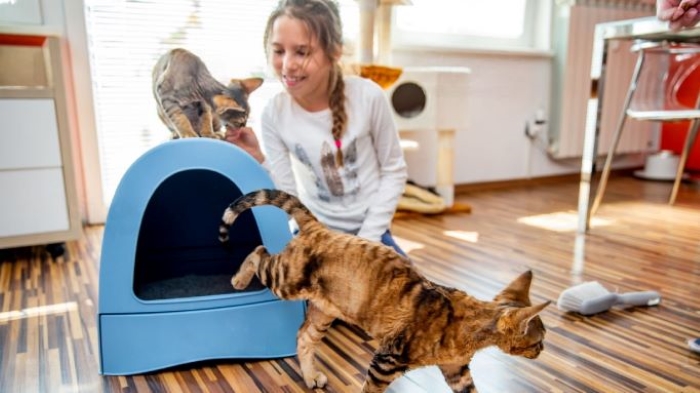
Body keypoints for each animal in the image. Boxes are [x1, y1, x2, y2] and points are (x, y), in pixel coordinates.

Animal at [217, 188, 548, 390]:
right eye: (539, 339)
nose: (543, 350)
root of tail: (318, 227)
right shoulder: (386, 360)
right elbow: (370, 390)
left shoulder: (457, 371)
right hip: (286, 278)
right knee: (259, 252)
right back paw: (239, 279)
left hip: (324, 311)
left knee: (304, 338)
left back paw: (310, 377)